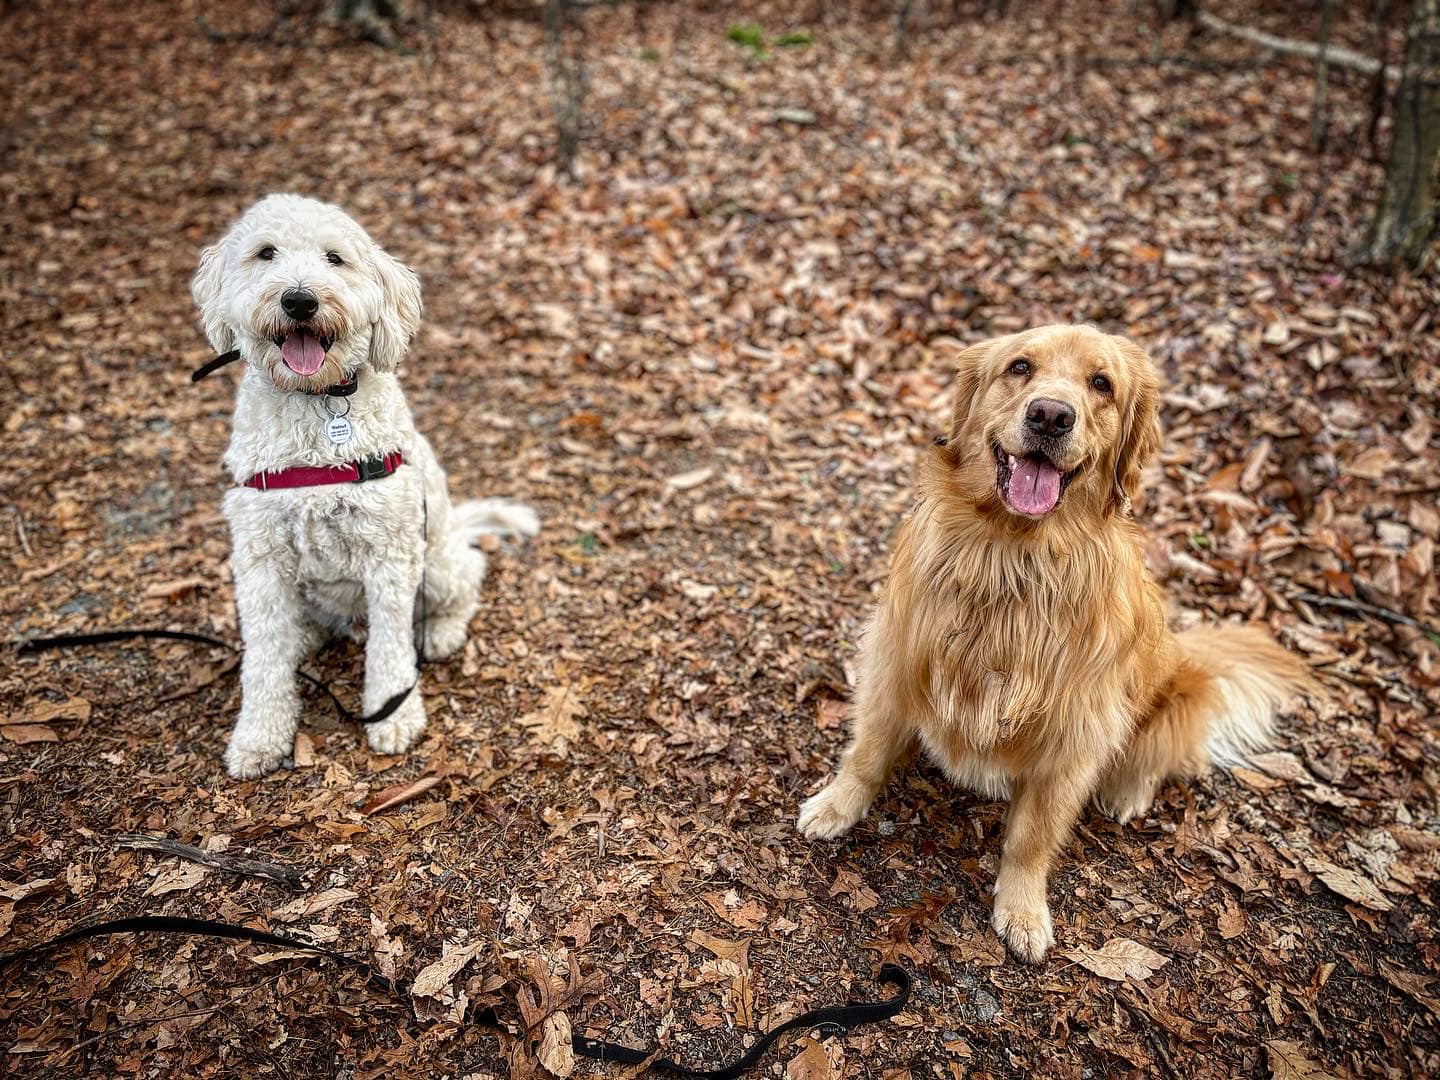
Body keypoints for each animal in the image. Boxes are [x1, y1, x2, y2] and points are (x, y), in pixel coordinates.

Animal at [191, 194, 541, 783]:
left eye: (335, 258)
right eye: (265, 253)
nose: (300, 300)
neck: (318, 403)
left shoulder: (391, 554)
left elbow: (392, 646)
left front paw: (393, 714)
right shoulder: (260, 559)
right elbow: (263, 657)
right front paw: (259, 737)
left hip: (436, 561)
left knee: (468, 575)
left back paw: (442, 631)